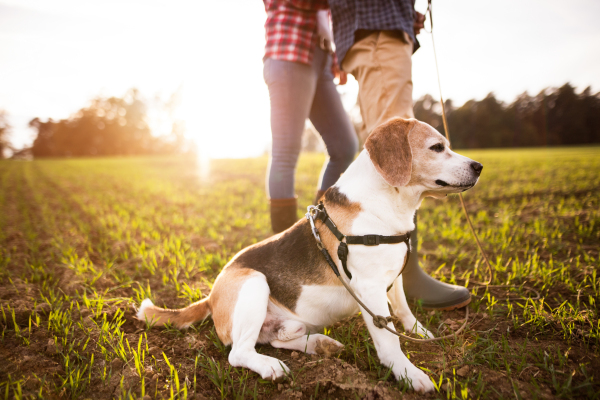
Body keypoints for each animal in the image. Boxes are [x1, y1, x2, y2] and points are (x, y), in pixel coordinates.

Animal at [137, 117, 482, 392]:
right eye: (436, 147)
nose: (479, 166)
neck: (386, 203)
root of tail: (210, 296)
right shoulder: (369, 289)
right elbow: (389, 339)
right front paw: (409, 374)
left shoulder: (392, 276)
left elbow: (406, 311)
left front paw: (422, 334)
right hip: (254, 282)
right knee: (239, 353)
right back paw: (272, 366)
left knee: (279, 338)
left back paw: (320, 344)